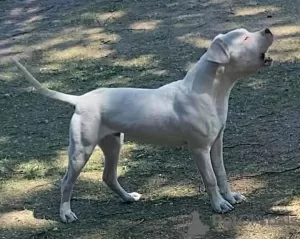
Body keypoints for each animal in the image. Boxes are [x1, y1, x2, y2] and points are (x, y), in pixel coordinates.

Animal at [11, 27, 274, 223]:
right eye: (246, 38)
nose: (268, 29)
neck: (210, 90)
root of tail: (81, 100)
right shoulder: (199, 149)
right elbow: (209, 178)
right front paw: (219, 204)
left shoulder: (216, 143)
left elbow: (221, 173)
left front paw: (231, 196)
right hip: (80, 151)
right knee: (67, 181)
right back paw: (66, 214)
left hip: (113, 144)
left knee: (108, 176)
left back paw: (128, 197)